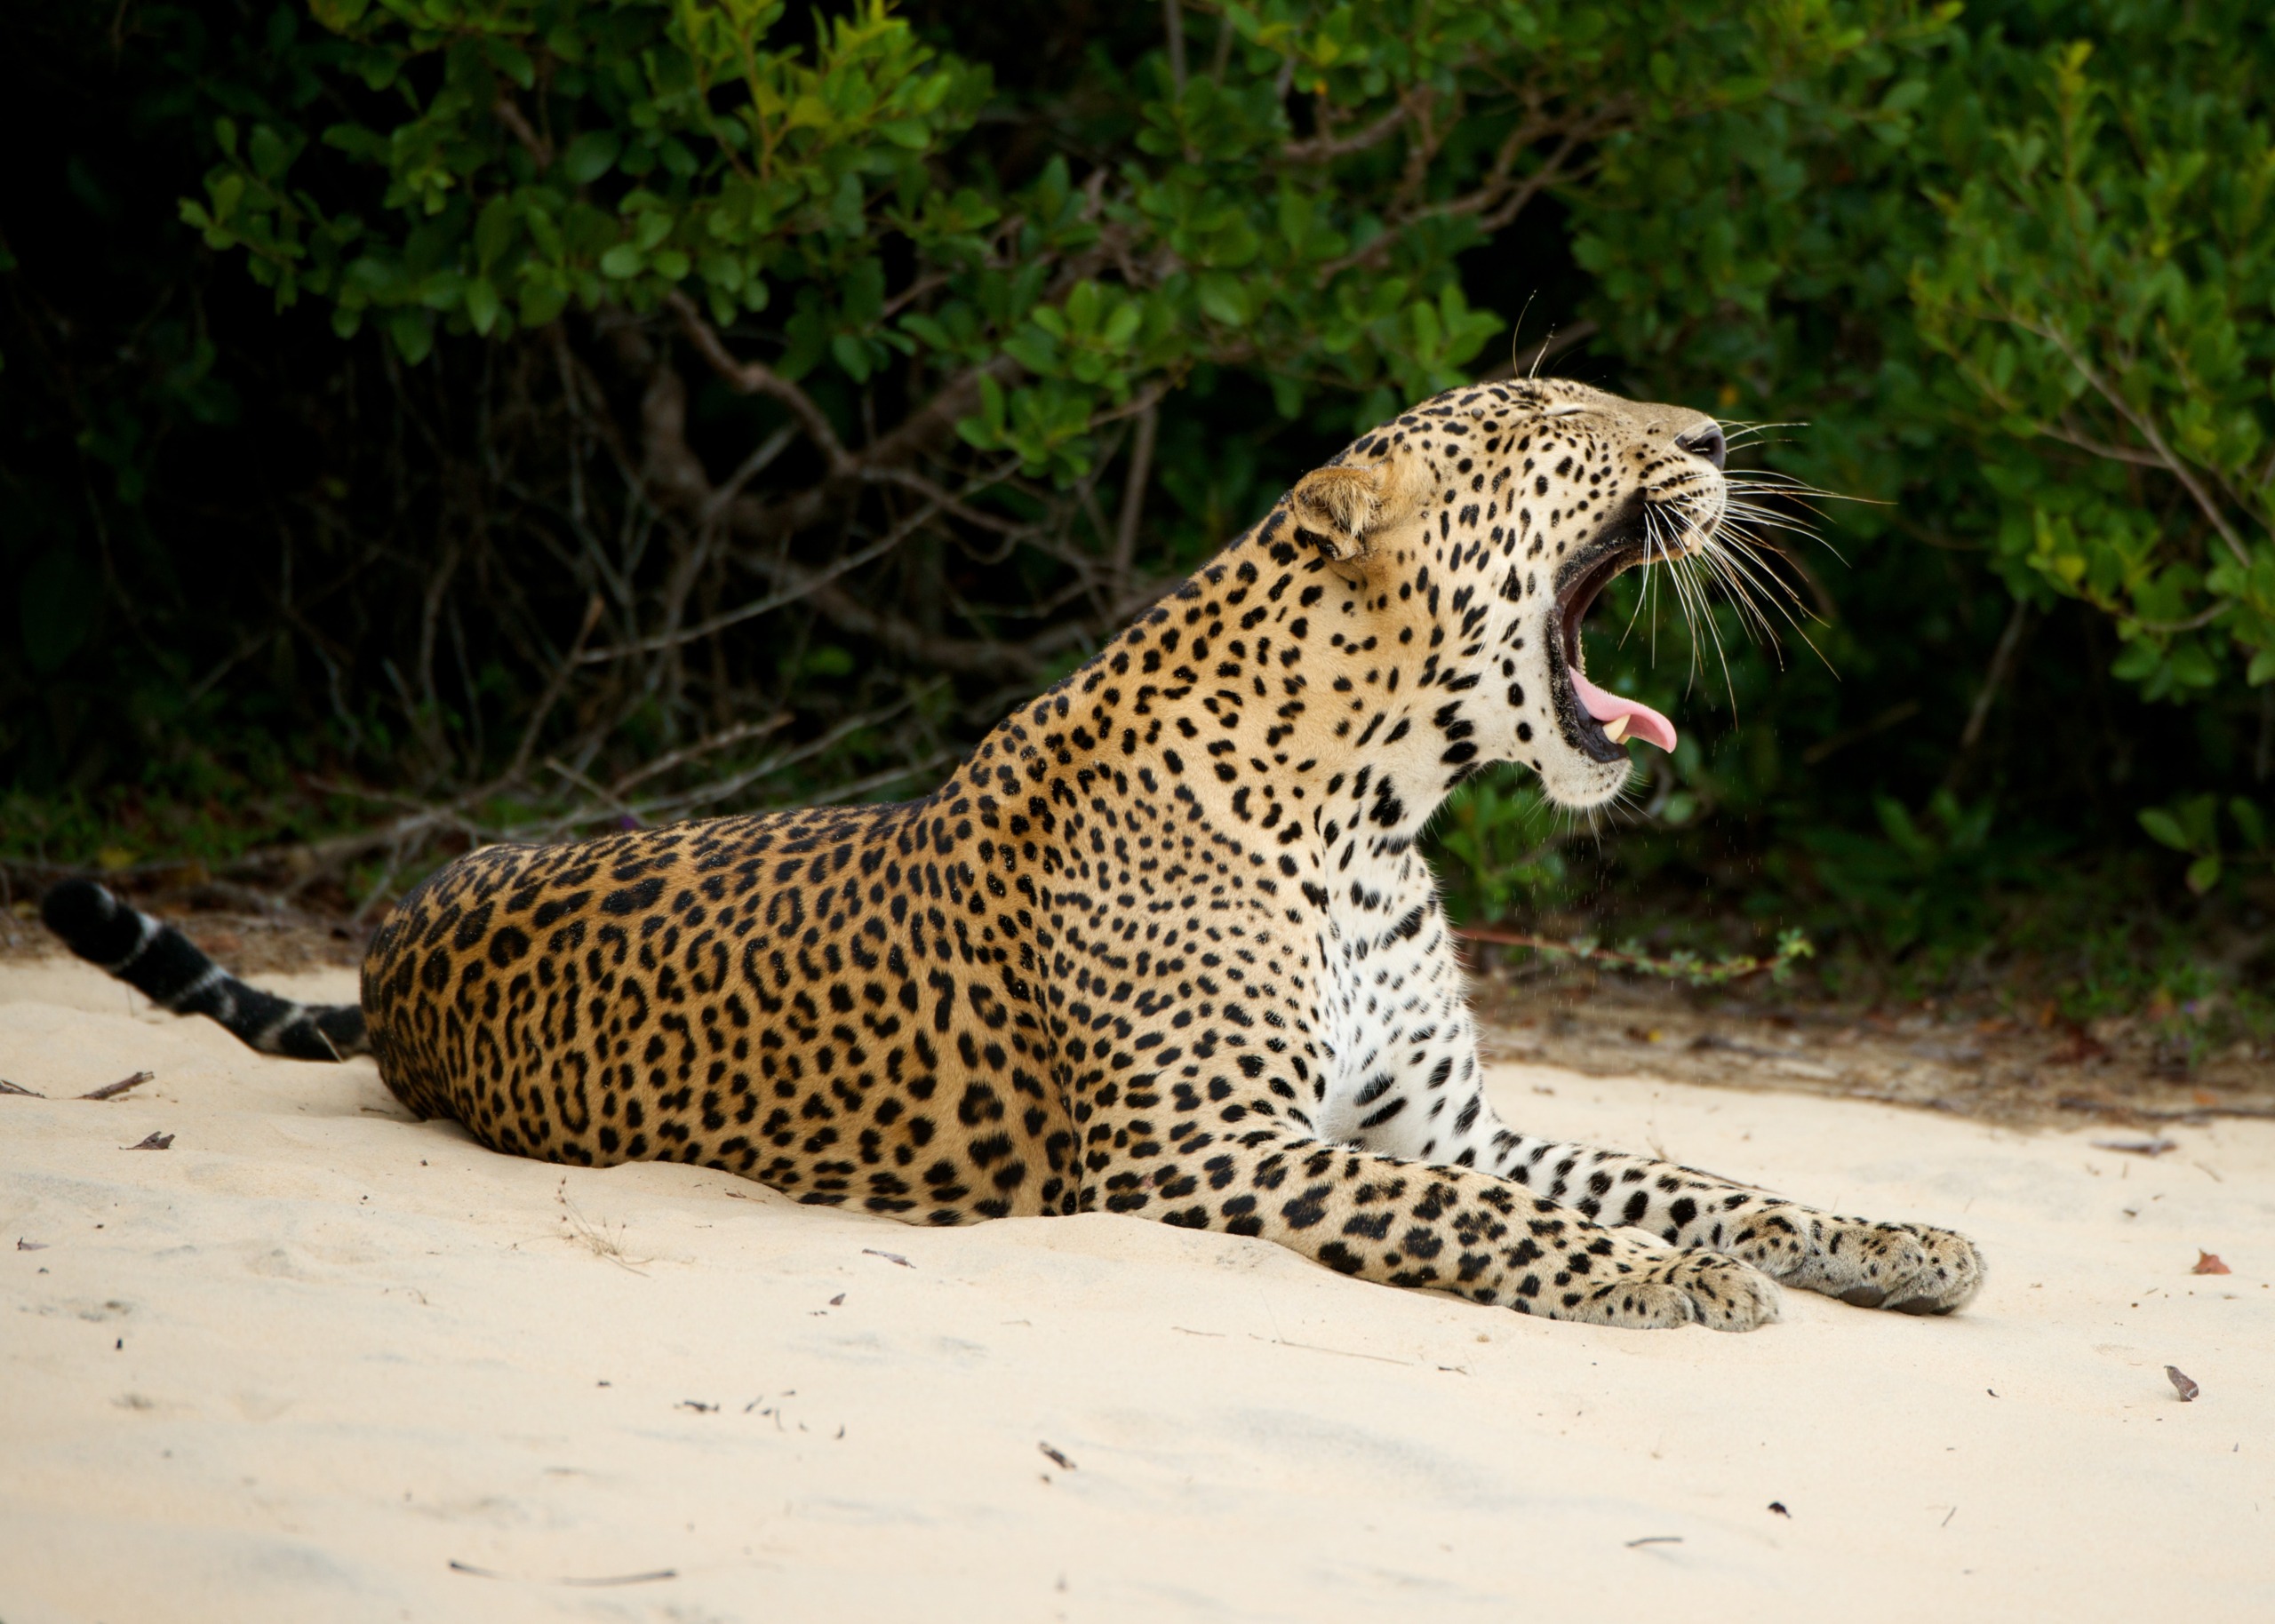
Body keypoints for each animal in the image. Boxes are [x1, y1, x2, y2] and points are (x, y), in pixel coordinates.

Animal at [44, 379, 1984, 1328]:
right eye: (1559, 426)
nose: (1717, 441)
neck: (1371, 820)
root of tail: (391, 928)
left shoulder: (1432, 1116)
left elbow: (1681, 1167)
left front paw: (1887, 1238)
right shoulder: (1201, 1151)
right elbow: (1501, 1218)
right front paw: (1672, 1280)